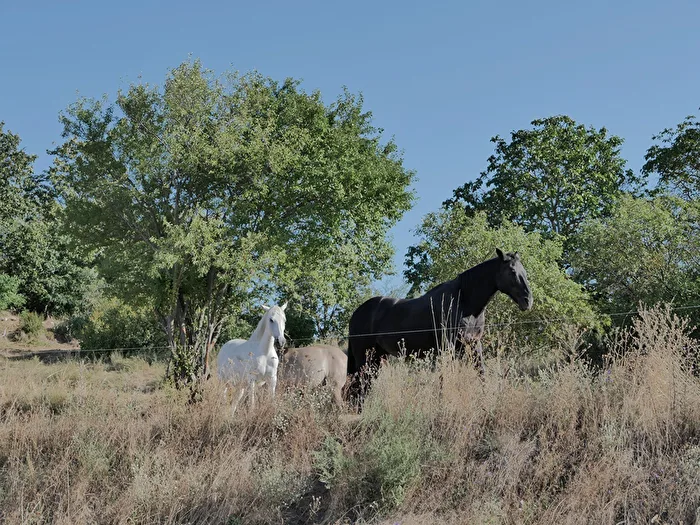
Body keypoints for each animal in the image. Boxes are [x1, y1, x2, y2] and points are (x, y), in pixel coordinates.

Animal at [345, 249, 533, 405]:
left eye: (524, 271)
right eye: (512, 271)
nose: (528, 301)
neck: (464, 303)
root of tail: (357, 313)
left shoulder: (473, 344)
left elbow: (481, 373)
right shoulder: (447, 347)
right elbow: (446, 377)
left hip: (377, 358)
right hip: (364, 357)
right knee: (359, 386)